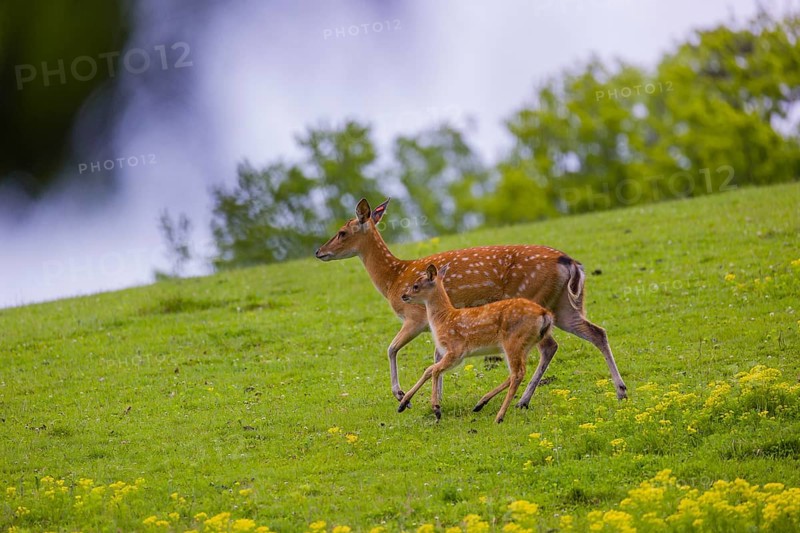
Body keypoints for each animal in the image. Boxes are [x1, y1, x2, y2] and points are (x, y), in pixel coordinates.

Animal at [398, 263, 556, 422]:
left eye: (416, 286)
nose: (403, 296)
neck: (443, 319)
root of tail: (545, 315)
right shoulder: (452, 353)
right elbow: (429, 369)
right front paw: (403, 403)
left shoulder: (456, 349)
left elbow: (434, 369)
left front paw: (436, 409)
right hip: (526, 344)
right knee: (514, 373)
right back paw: (480, 403)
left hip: (514, 341)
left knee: (517, 374)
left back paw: (499, 416)